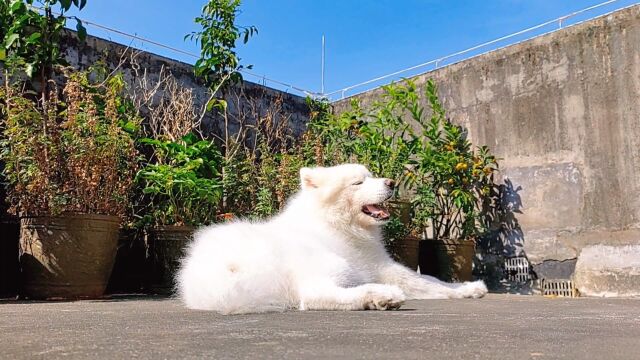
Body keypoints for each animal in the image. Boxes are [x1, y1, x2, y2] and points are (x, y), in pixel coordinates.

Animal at [175, 165, 484, 314]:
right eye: (358, 182)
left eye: (372, 176)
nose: (391, 183)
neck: (337, 221)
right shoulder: (384, 268)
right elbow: (429, 281)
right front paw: (465, 289)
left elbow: (431, 280)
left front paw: (467, 288)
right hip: (333, 263)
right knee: (313, 296)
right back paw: (380, 296)